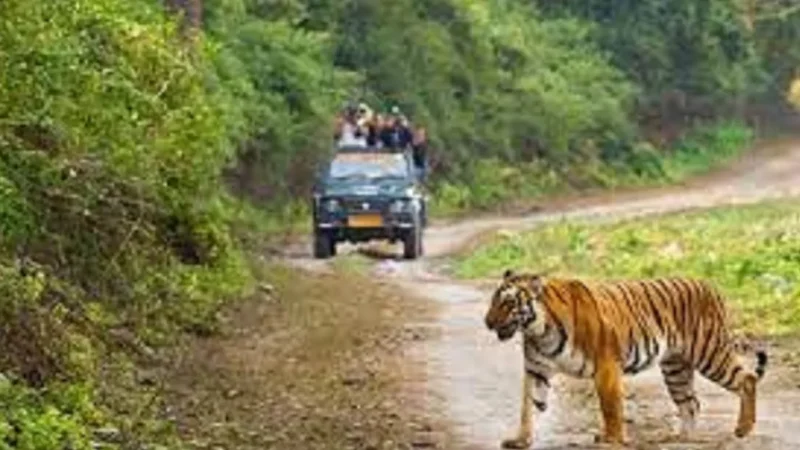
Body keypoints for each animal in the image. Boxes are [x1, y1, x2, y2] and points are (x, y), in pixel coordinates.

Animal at [482, 268, 768, 448]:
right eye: (494, 300)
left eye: (508, 302)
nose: (487, 322)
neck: (538, 329)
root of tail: (710, 286)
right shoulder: (536, 370)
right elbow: (527, 408)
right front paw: (520, 440)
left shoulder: (606, 365)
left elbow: (610, 407)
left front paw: (612, 439)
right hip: (675, 367)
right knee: (691, 403)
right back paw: (679, 439)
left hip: (709, 353)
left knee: (747, 378)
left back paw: (742, 429)